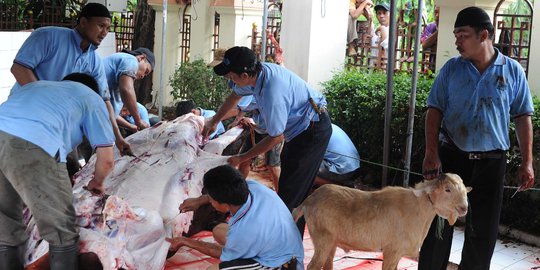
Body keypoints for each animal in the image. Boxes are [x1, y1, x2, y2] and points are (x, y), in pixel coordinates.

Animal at [294, 173, 470, 270]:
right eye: (447, 189)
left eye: (464, 191)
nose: (464, 208)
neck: (418, 210)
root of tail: (308, 201)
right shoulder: (392, 251)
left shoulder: (397, 254)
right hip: (322, 238)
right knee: (313, 266)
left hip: (332, 241)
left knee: (327, 264)